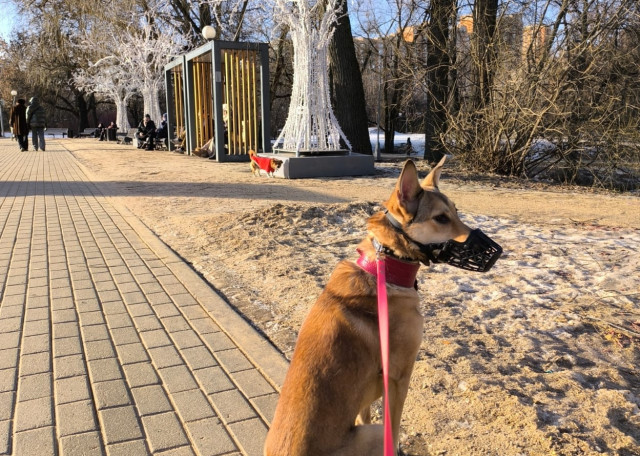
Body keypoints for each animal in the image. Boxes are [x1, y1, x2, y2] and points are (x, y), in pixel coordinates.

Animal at [264, 157, 502, 455]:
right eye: (441, 218)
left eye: (456, 212)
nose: (498, 252)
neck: (387, 268)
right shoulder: (399, 377)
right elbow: (396, 428)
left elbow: (364, 413)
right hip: (376, 434)